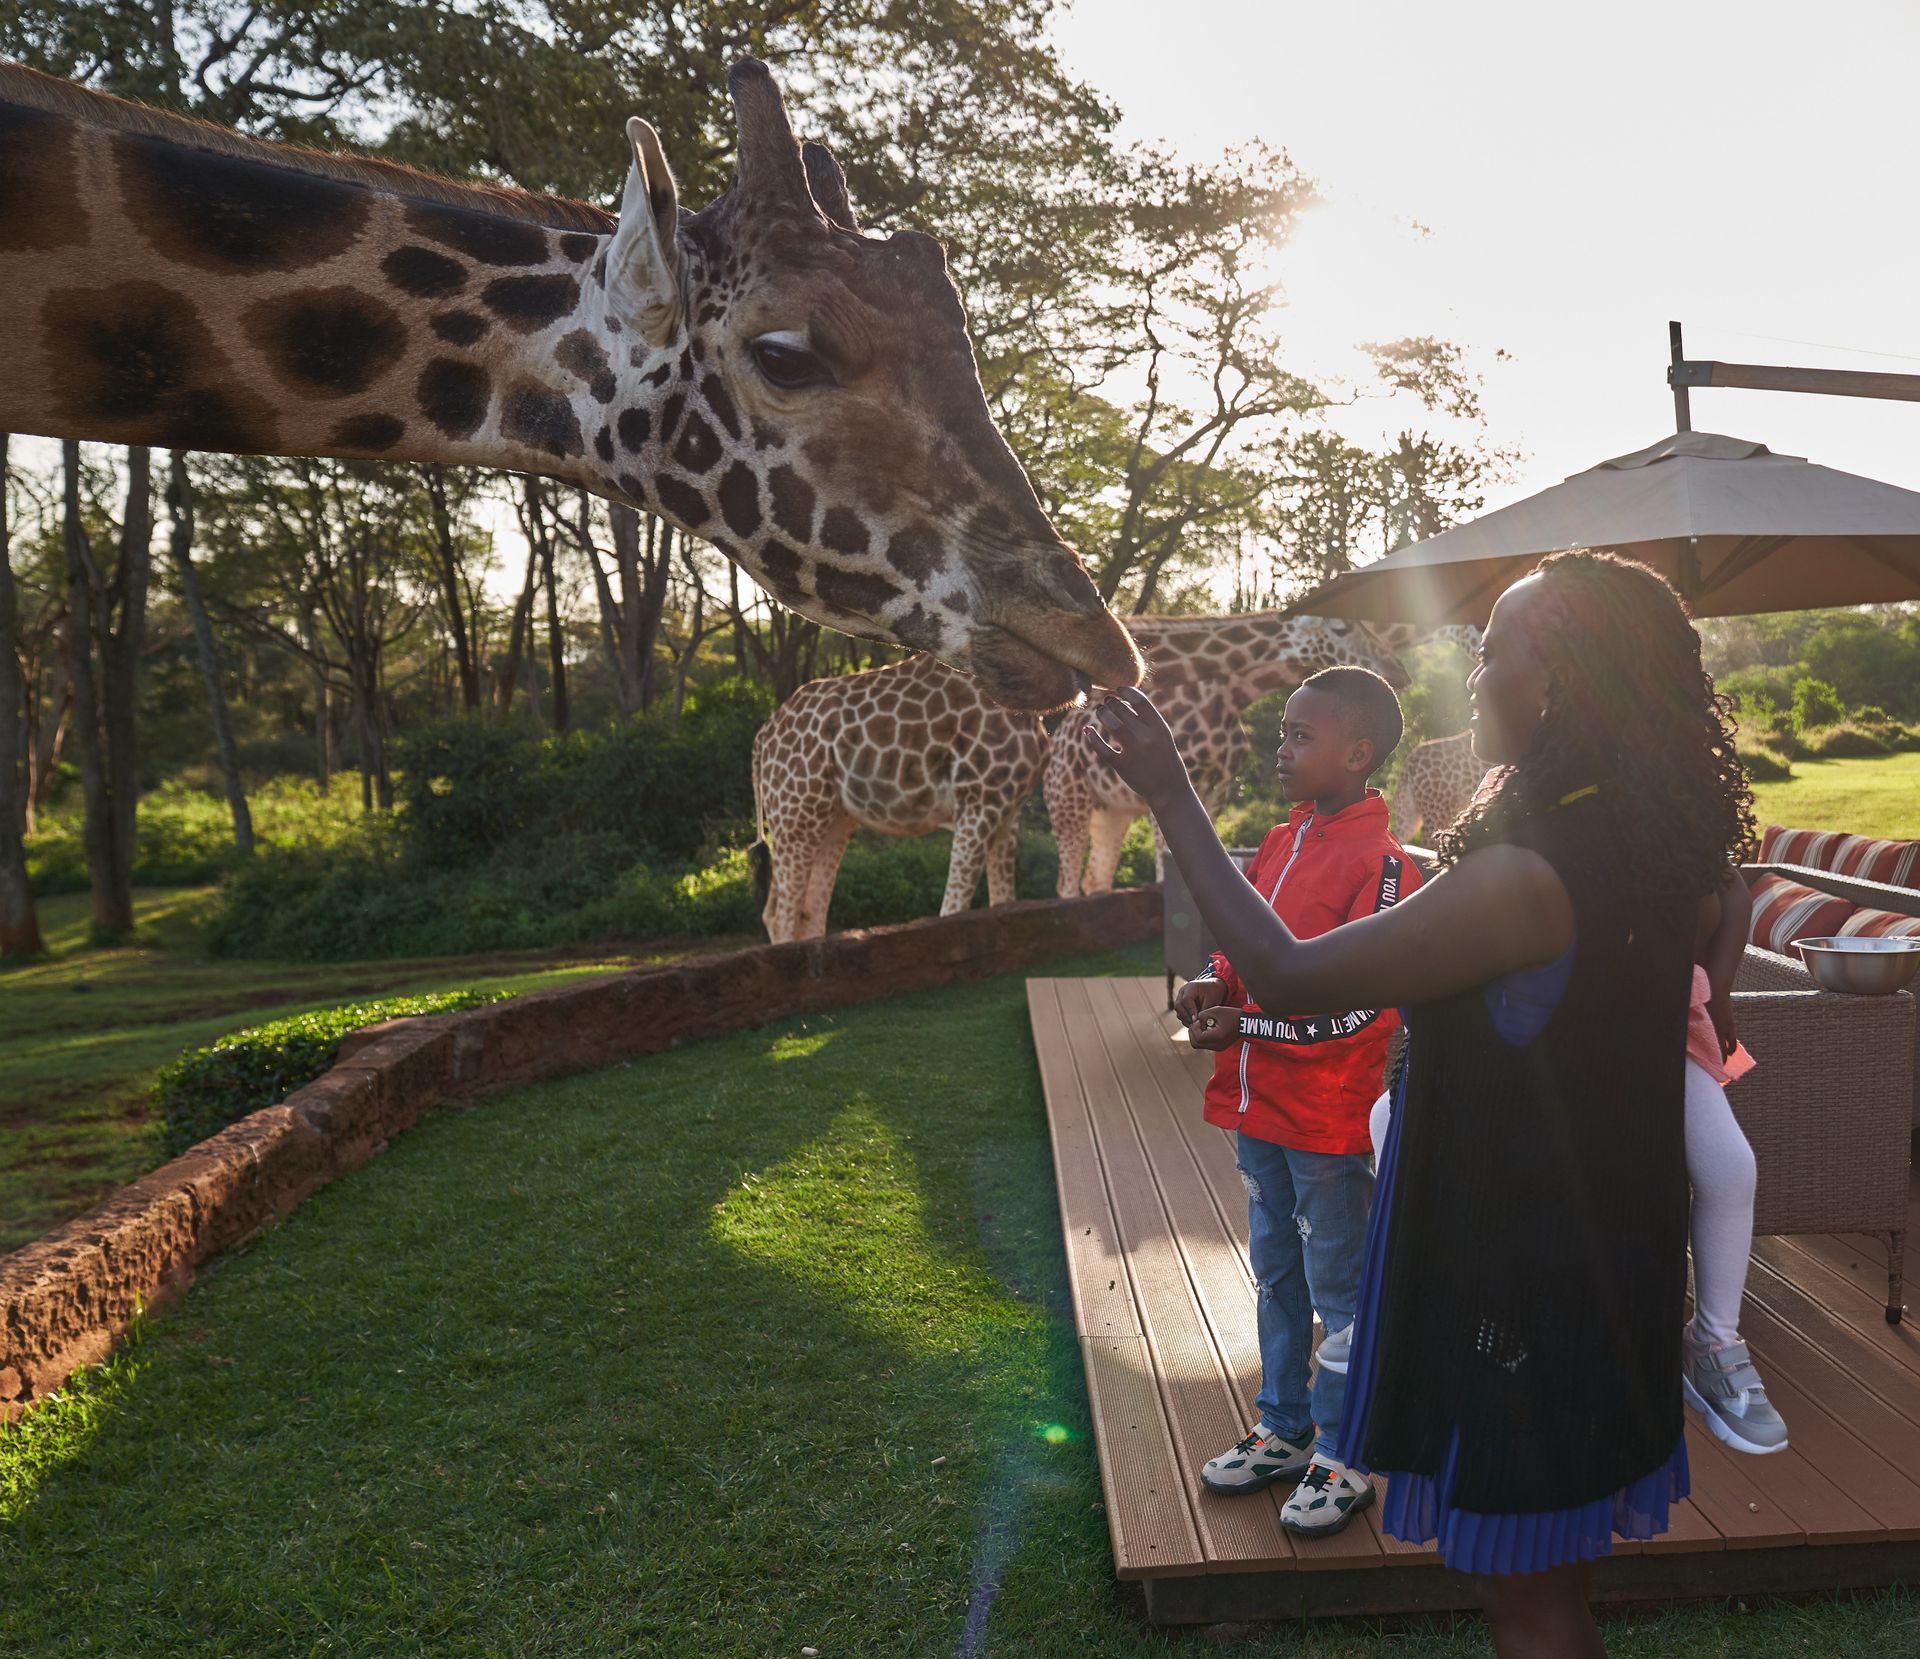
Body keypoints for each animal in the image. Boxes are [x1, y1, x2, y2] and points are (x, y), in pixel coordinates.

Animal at [749, 653, 1044, 942]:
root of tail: (762, 738)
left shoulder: (1008, 813)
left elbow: (1004, 906)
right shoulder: (979, 802)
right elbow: (952, 912)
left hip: (828, 818)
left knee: (804, 913)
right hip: (795, 813)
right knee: (781, 916)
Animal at [1046, 613, 1410, 897]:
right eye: (1340, 628)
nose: (1399, 672)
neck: (1232, 694)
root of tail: (1057, 747)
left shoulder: (1218, 786)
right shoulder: (1188, 779)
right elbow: (1165, 877)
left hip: (1109, 811)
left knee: (1094, 880)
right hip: (1069, 800)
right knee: (1067, 885)